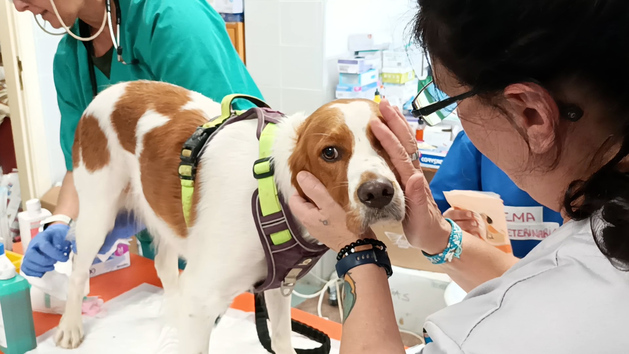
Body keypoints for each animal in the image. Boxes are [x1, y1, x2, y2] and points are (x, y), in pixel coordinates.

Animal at [56, 81, 404, 352]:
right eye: (330, 153)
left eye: (387, 142)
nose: (378, 192)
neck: (273, 192)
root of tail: (111, 89)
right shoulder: (201, 299)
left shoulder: (278, 284)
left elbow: (280, 339)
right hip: (98, 214)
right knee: (77, 270)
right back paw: (70, 326)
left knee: (164, 266)